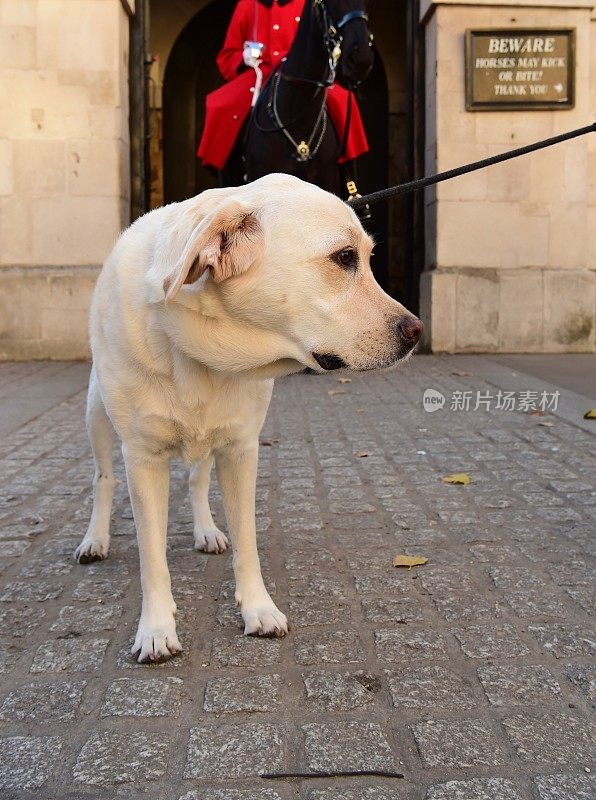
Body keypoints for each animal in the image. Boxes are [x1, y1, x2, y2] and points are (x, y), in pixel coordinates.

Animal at [74, 173, 422, 664]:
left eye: (368, 258)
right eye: (344, 257)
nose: (417, 332)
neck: (202, 352)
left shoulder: (241, 449)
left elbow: (248, 543)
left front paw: (258, 608)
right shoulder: (143, 459)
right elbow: (152, 560)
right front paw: (156, 628)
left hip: (209, 441)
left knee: (196, 480)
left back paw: (206, 531)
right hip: (98, 419)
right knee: (102, 479)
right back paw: (95, 540)